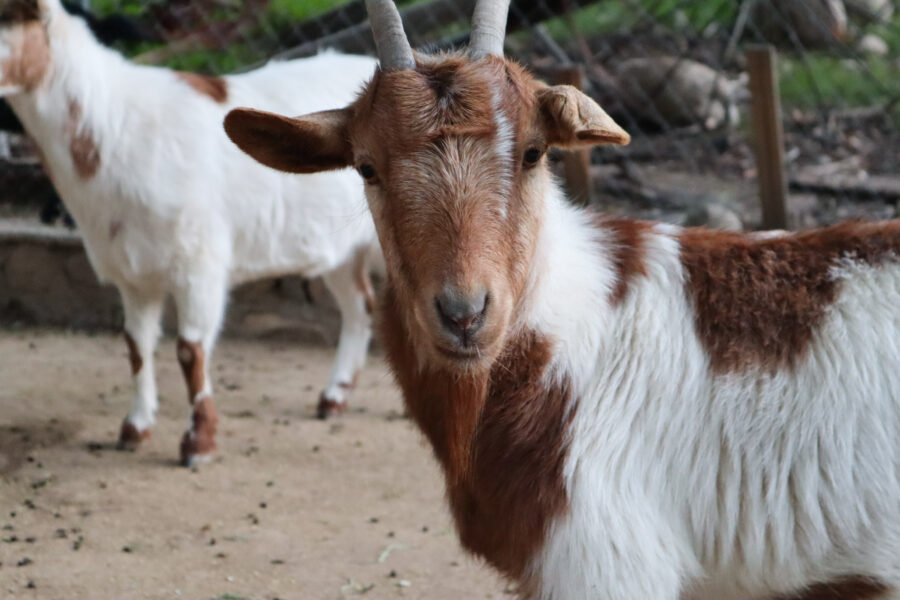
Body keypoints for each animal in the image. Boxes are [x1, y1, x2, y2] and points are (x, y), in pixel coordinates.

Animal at [0, 0, 380, 466]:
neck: (110, 128)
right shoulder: (131, 269)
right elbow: (135, 345)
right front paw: (134, 429)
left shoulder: (199, 261)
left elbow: (189, 350)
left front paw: (198, 442)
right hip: (340, 248)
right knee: (360, 306)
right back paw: (333, 398)